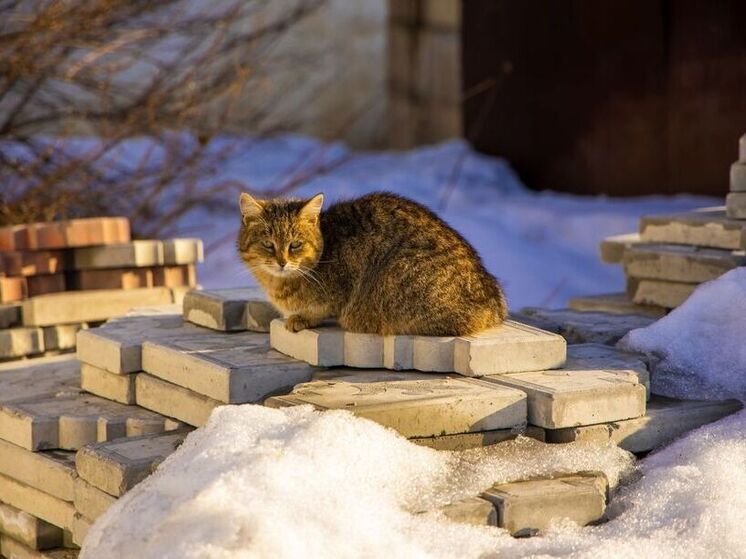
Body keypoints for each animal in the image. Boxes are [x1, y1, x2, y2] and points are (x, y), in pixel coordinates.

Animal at [237, 191, 506, 336]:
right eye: (268, 244)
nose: (281, 262)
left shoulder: (341, 288)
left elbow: (322, 309)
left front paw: (300, 319)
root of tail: (492, 300)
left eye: (295, 245)